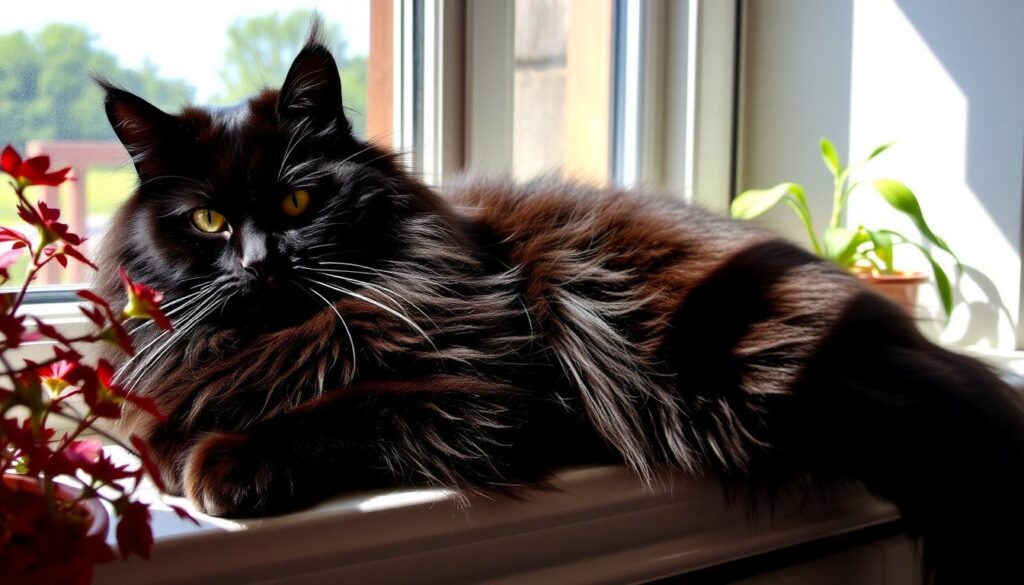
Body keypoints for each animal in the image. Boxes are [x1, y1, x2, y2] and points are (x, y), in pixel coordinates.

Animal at [94, 26, 1024, 581]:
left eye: (296, 202)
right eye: (208, 221)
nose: (260, 261)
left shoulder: (484, 391)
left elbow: (339, 407)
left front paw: (224, 460)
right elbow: (175, 418)